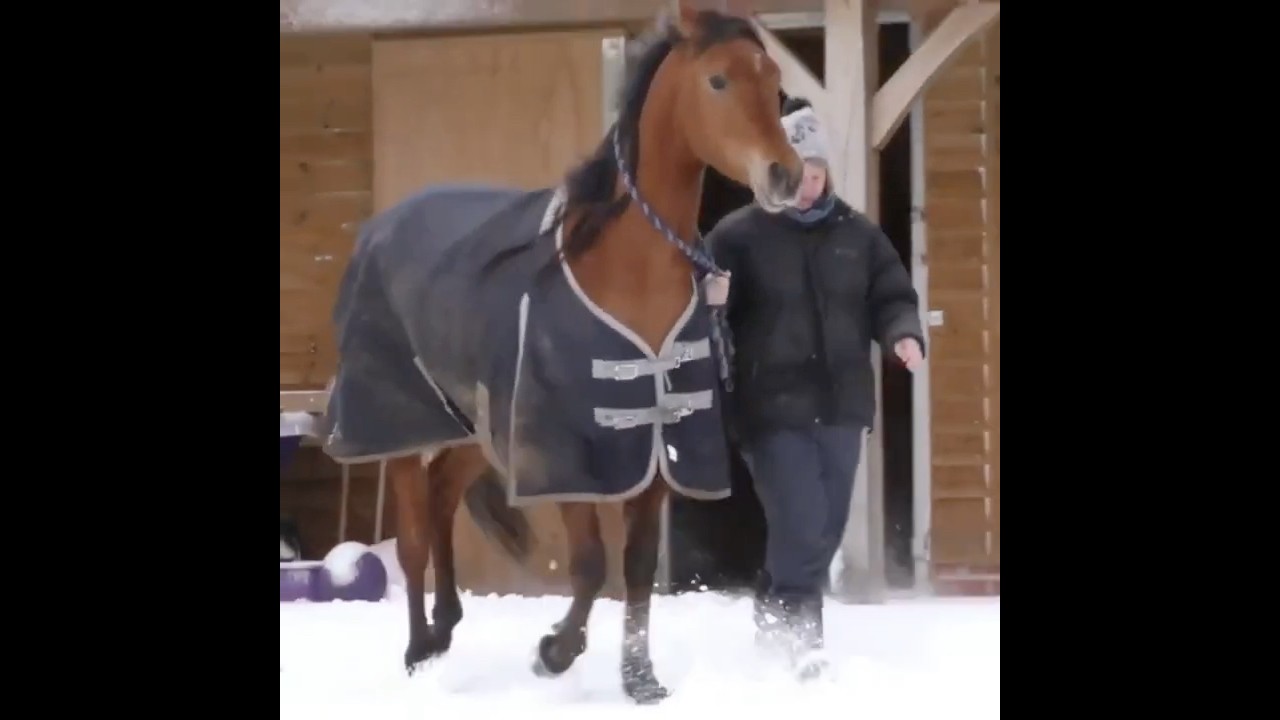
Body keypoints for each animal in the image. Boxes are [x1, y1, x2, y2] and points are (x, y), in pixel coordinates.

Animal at [319, 2, 802, 704]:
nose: (785, 176)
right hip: (401, 426)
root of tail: (382, 226)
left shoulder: (657, 446)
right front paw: (554, 651)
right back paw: (417, 649)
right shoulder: (568, 452)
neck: (621, 269)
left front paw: (640, 678)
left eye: (773, 80)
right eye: (718, 80)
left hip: (476, 426)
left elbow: (634, 567)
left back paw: (445, 626)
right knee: (411, 535)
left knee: (441, 498)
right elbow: (591, 565)